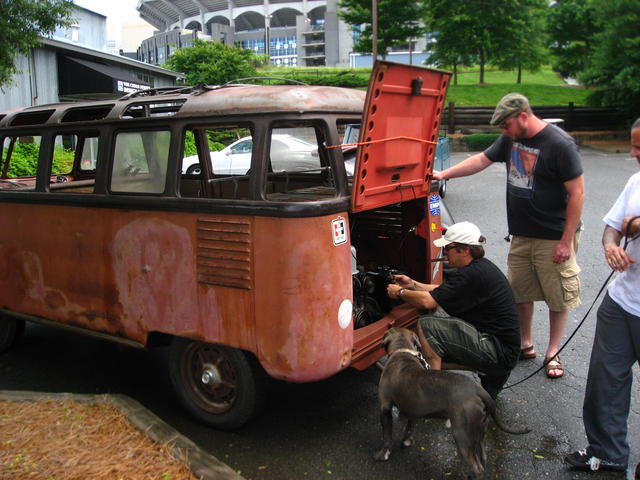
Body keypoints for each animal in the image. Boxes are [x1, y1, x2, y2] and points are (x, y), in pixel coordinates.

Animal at [374, 327, 530, 479]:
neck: (401, 351)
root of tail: (479, 390)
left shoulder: (384, 408)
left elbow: (386, 435)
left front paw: (383, 454)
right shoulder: (412, 408)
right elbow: (410, 427)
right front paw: (407, 441)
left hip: (462, 435)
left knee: (477, 468)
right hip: (479, 432)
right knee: (483, 457)